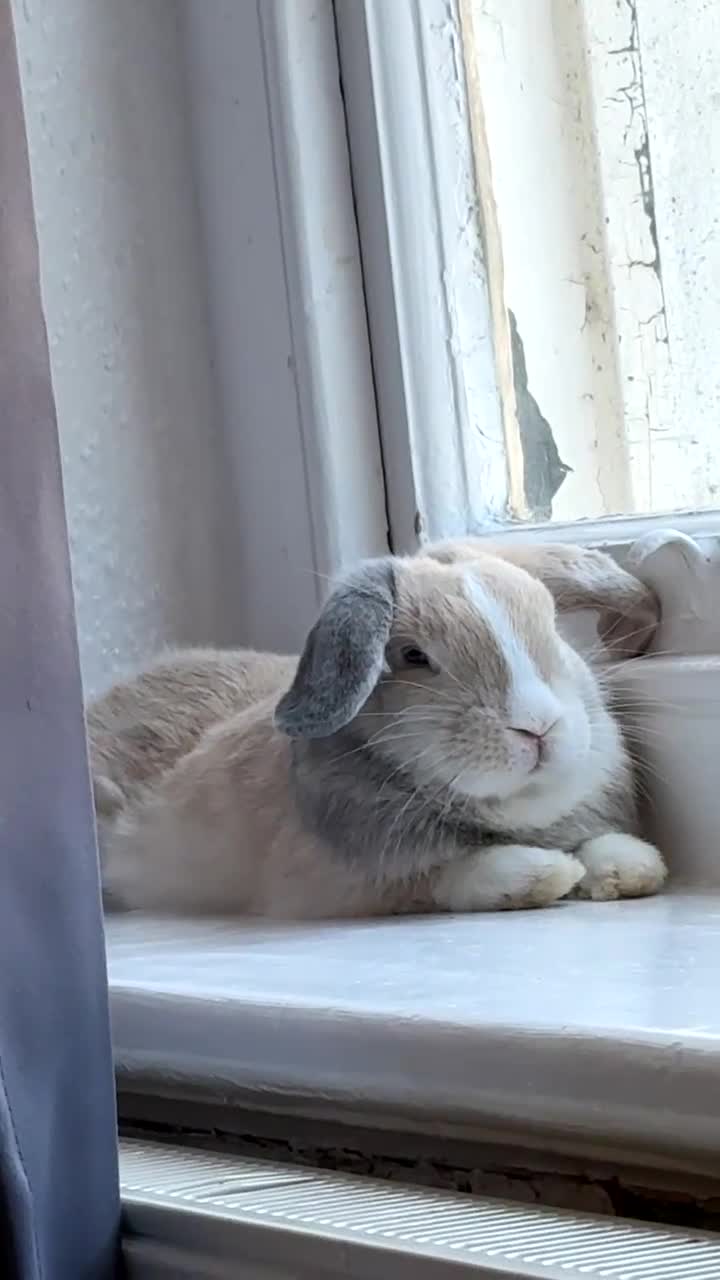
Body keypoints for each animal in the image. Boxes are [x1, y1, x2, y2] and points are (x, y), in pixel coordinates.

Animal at [98, 547, 666, 919]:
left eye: (552, 630)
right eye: (414, 657)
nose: (538, 726)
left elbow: (605, 843)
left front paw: (630, 868)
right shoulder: (346, 883)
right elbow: (448, 874)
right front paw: (543, 874)